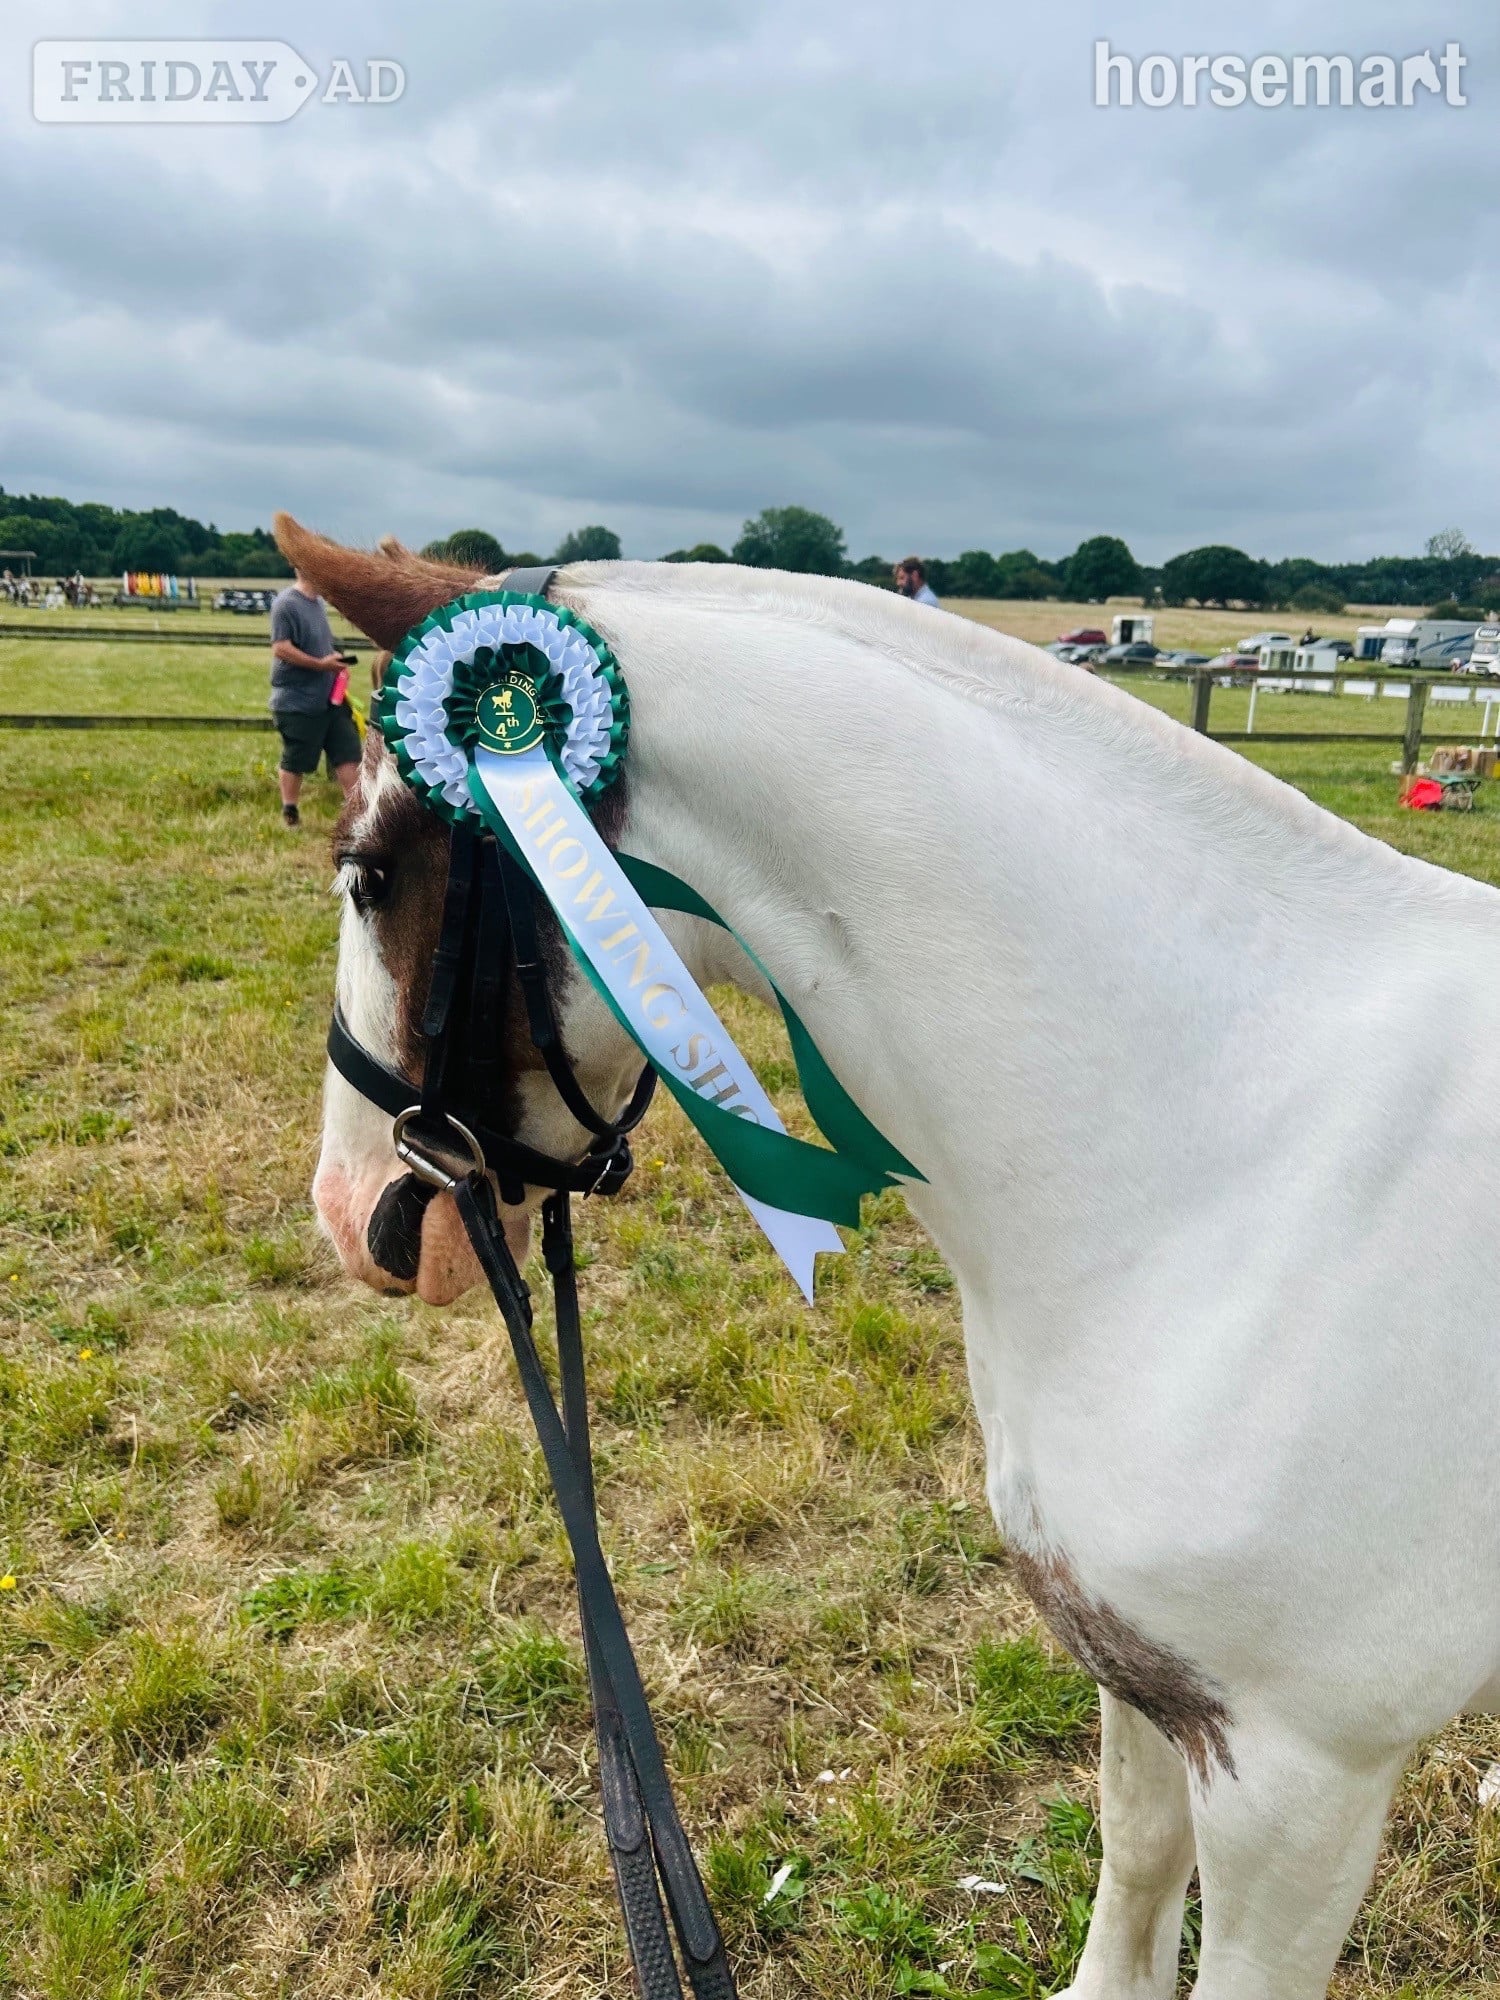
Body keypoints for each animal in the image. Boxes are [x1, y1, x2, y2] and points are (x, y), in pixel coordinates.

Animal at [276, 512, 1500, 2000]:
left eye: (369, 872)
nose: (356, 1217)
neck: (1230, 1164)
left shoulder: (1300, 1780)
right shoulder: (1146, 1676)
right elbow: (1136, 1861)